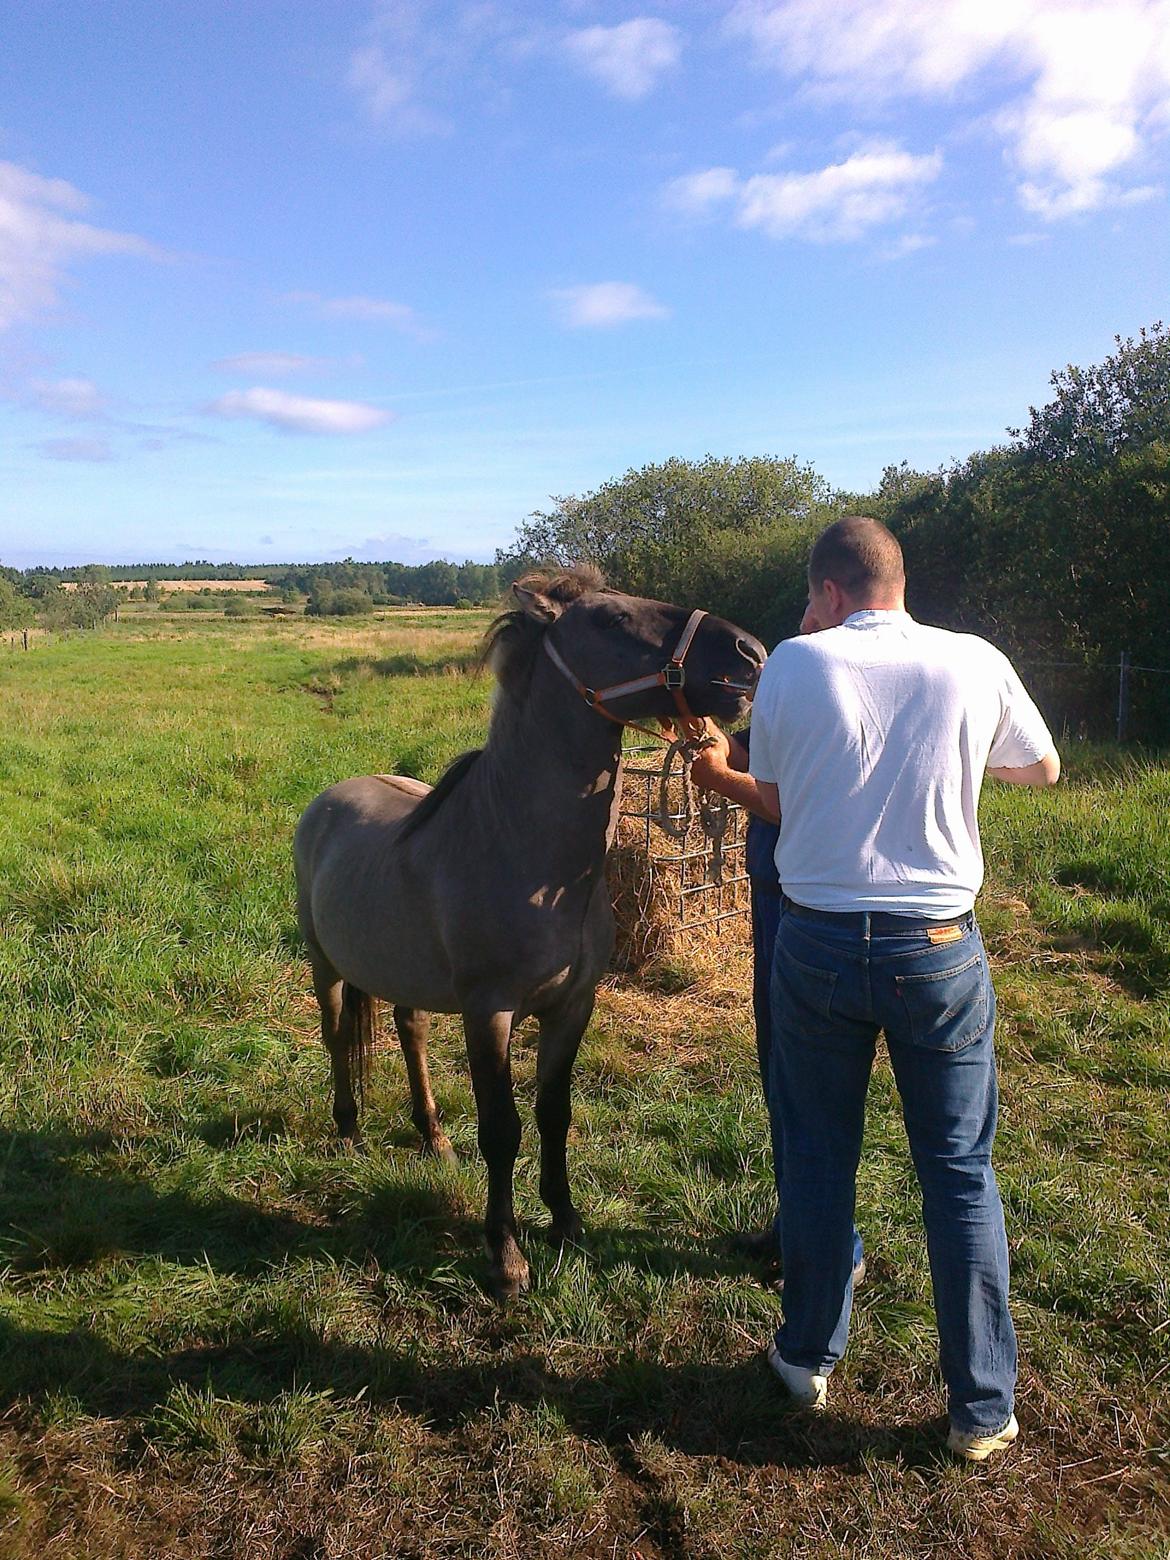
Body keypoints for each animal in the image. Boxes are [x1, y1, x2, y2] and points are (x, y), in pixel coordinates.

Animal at [294, 567, 770, 1297]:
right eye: (611, 620)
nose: (749, 652)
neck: (522, 849)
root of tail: (329, 800)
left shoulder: (571, 1006)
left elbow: (554, 1114)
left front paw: (566, 1223)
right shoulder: (489, 1012)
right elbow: (501, 1128)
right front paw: (506, 1255)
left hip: (405, 975)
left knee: (411, 1032)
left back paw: (433, 1138)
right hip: (325, 964)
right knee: (337, 1034)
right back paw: (348, 1129)